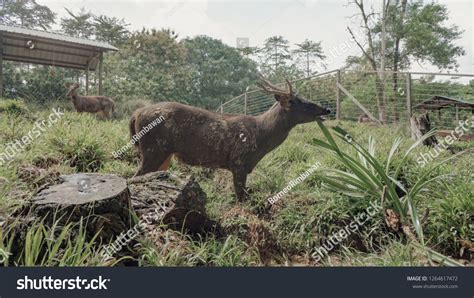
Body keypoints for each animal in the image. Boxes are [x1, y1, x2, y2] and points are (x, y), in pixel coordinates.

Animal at [130, 78, 330, 201]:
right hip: (153, 149)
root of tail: (136, 113)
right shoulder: (239, 160)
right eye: (297, 101)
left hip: (163, 154)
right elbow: (240, 197)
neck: (261, 137)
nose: (326, 109)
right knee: (135, 176)